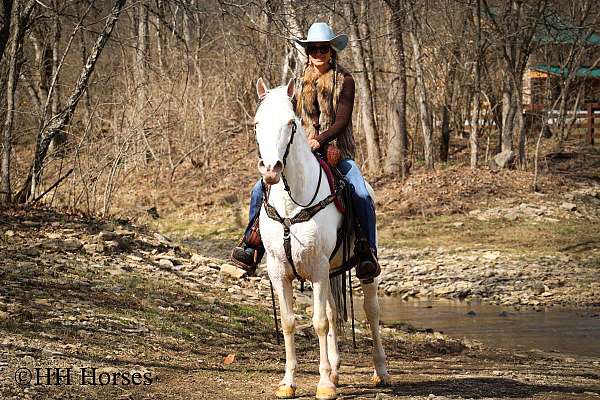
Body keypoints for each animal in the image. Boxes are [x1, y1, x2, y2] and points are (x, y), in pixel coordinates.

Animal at [252, 78, 390, 400]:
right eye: (257, 123)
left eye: (291, 123)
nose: (271, 170)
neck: (292, 205)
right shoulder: (280, 272)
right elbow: (291, 323)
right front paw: (288, 382)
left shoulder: (317, 269)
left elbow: (319, 323)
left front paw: (325, 384)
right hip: (331, 272)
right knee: (333, 311)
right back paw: (337, 370)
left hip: (362, 271)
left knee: (371, 312)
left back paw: (380, 372)